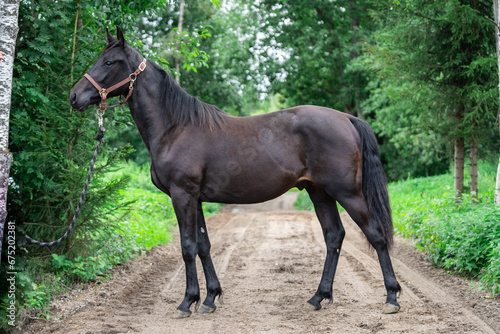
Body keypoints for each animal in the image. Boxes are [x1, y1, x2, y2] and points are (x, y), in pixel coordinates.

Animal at [70, 27, 400, 320]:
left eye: (109, 62)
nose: (75, 96)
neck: (175, 127)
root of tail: (346, 118)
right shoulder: (196, 199)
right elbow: (203, 245)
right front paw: (210, 298)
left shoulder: (182, 195)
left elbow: (187, 246)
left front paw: (187, 302)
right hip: (319, 192)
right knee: (334, 236)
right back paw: (317, 298)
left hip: (347, 193)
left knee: (376, 235)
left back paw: (391, 298)